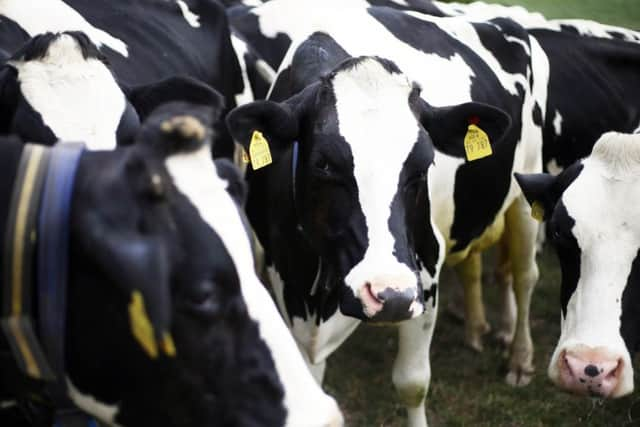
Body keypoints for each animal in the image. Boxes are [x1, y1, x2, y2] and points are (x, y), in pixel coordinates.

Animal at [226, 3, 552, 424]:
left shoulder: (425, 265)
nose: (389, 294)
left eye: (424, 164)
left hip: (528, 188)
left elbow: (412, 383)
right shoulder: (285, 274)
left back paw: (519, 358)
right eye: (324, 164)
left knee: (526, 275)